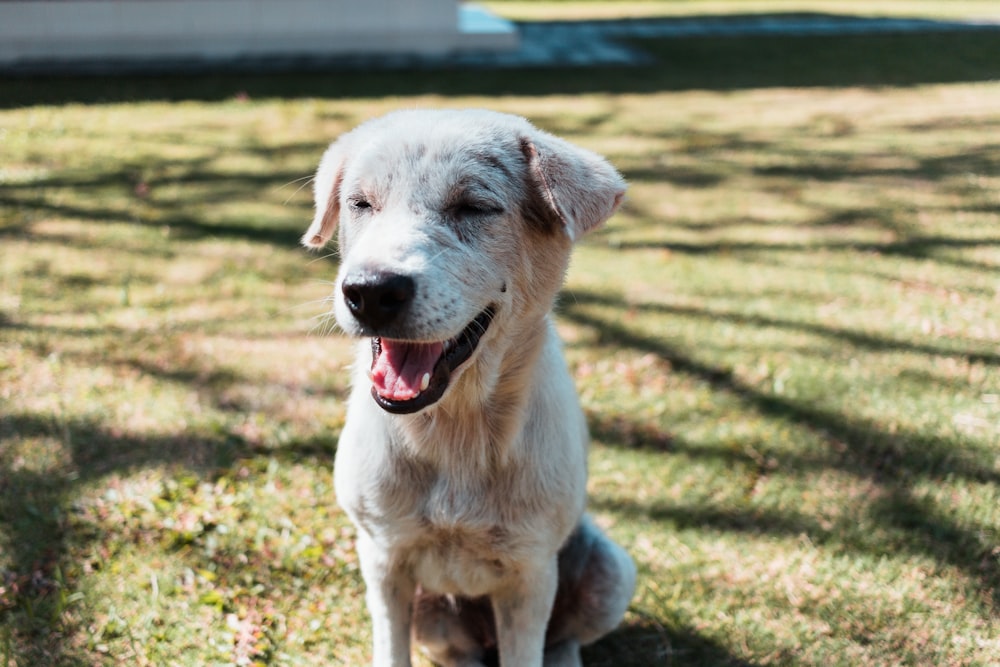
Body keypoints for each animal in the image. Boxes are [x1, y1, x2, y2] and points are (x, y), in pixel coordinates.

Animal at [300, 109, 636, 667]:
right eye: (361, 203)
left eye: (473, 207)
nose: (369, 292)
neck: (456, 430)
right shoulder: (382, 557)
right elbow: (390, 651)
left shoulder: (530, 574)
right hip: (435, 614)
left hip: (611, 572)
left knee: (562, 640)